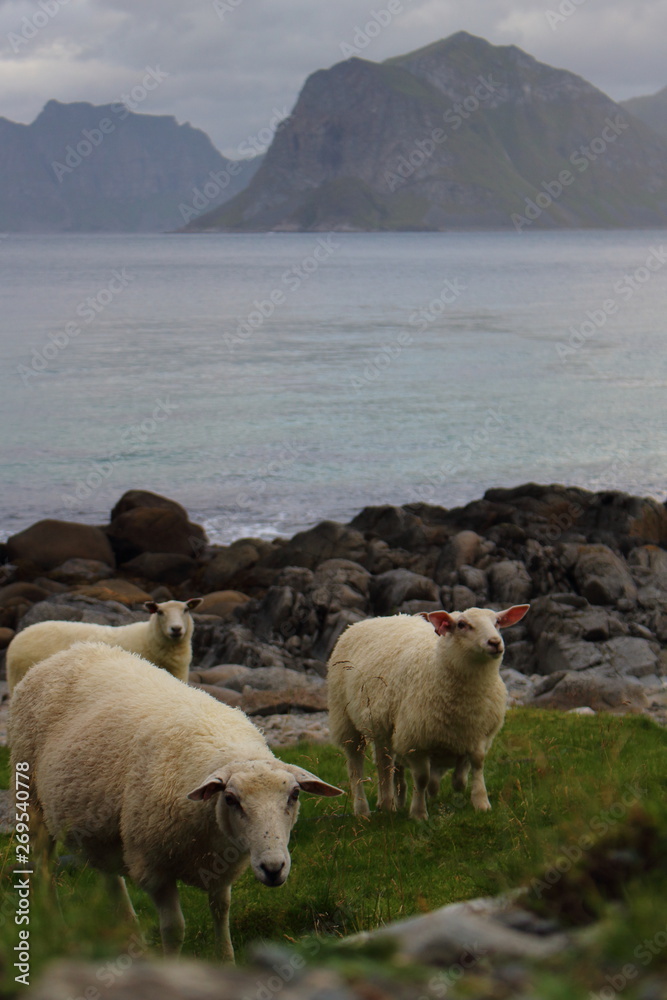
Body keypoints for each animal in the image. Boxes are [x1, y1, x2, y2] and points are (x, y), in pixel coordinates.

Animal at [9, 641, 342, 961]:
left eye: (294, 795)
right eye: (231, 799)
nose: (273, 868)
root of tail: (65, 653)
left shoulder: (221, 863)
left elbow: (221, 910)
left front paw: (227, 960)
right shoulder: (153, 868)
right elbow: (174, 929)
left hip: (96, 825)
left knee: (109, 878)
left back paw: (131, 936)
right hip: (32, 802)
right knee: (44, 870)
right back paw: (56, 926)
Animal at [327, 604, 529, 820]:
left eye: (497, 622)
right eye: (461, 624)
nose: (495, 642)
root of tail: (378, 618)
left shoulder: (477, 731)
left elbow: (476, 763)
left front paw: (480, 801)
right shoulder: (415, 738)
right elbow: (422, 777)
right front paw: (418, 813)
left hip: (382, 725)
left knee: (385, 763)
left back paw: (388, 803)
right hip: (345, 719)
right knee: (356, 765)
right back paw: (363, 809)